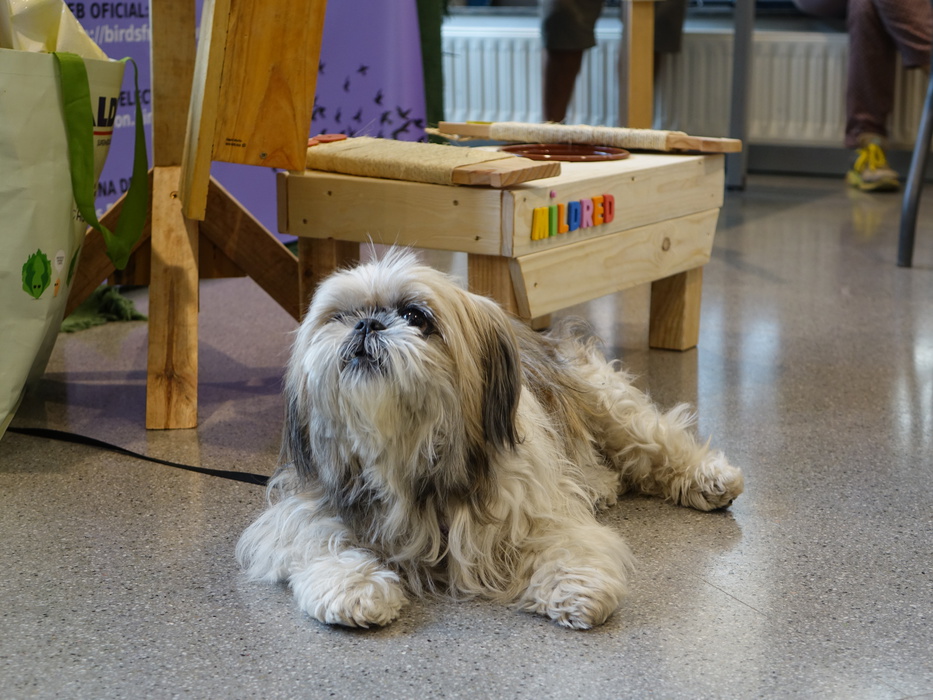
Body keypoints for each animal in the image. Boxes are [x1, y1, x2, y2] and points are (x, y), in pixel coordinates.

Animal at [236, 250, 743, 629]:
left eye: (415, 316)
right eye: (340, 316)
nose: (367, 324)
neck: (405, 449)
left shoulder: (530, 505)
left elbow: (566, 543)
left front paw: (574, 586)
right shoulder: (311, 502)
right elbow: (316, 539)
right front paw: (355, 588)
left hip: (607, 403)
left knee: (657, 440)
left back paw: (710, 479)